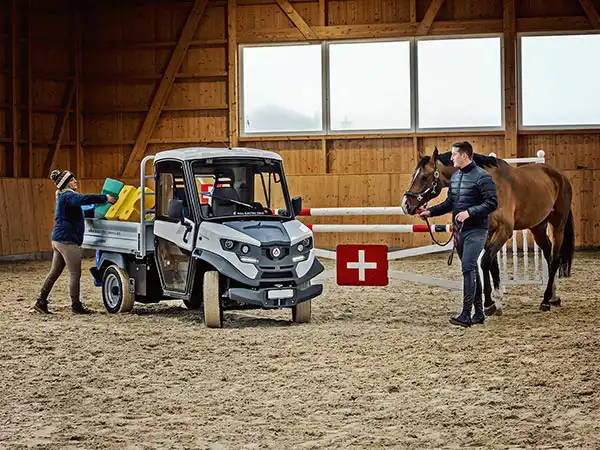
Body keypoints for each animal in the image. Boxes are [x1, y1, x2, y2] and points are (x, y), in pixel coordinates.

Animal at [400, 149, 576, 314]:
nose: (406, 205)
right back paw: (553, 297)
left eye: (424, 176)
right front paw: (496, 301)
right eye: (414, 175)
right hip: (537, 226)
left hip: (558, 226)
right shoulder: (487, 233)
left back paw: (545, 301)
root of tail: (560, 176)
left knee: (555, 259)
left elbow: (485, 262)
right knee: (548, 253)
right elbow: (492, 264)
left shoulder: (504, 230)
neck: (490, 185)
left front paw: (490, 303)